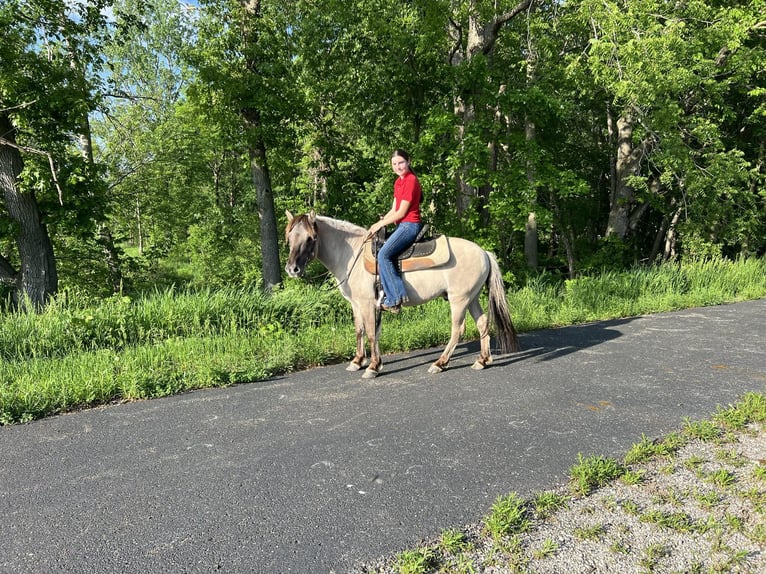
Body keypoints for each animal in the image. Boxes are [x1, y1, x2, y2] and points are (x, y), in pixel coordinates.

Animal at [284, 210, 520, 378]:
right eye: (289, 237)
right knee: (482, 323)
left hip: (459, 299)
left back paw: (440, 363)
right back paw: (482, 360)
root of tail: (484, 253)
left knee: (458, 330)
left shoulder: (367, 303)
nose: (292, 269)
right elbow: (360, 331)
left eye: (311, 238)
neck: (350, 254)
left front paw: (373, 367)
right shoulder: (356, 304)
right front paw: (358, 361)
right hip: (471, 297)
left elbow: (371, 333)